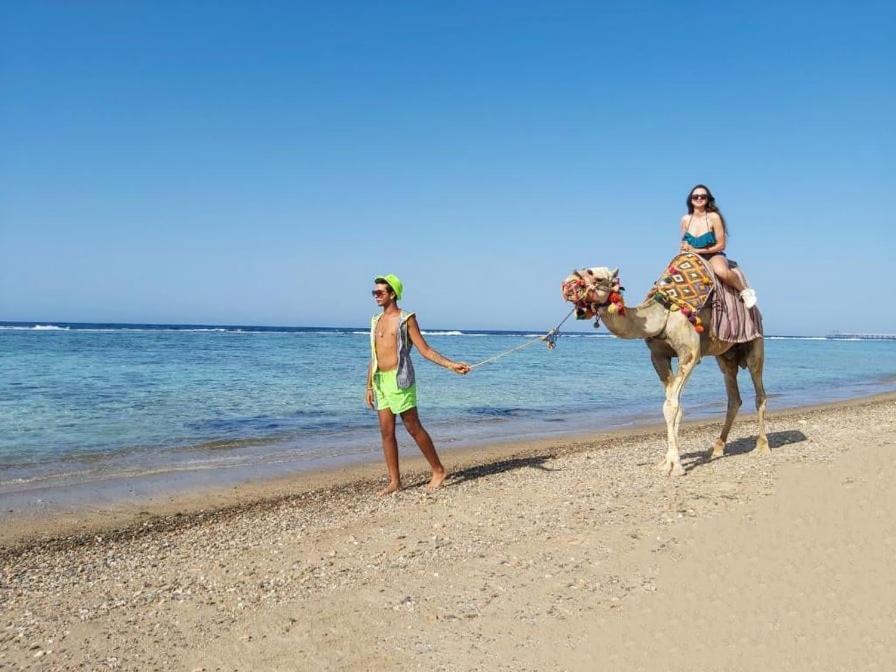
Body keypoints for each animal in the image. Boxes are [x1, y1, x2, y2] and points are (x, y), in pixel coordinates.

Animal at [572, 264, 768, 478]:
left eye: (598, 278)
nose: (570, 282)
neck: (661, 316)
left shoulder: (690, 353)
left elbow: (672, 405)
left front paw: (676, 466)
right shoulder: (658, 356)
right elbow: (672, 405)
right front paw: (667, 462)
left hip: (755, 343)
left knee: (759, 389)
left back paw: (762, 446)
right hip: (725, 355)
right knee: (733, 394)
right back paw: (717, 448)